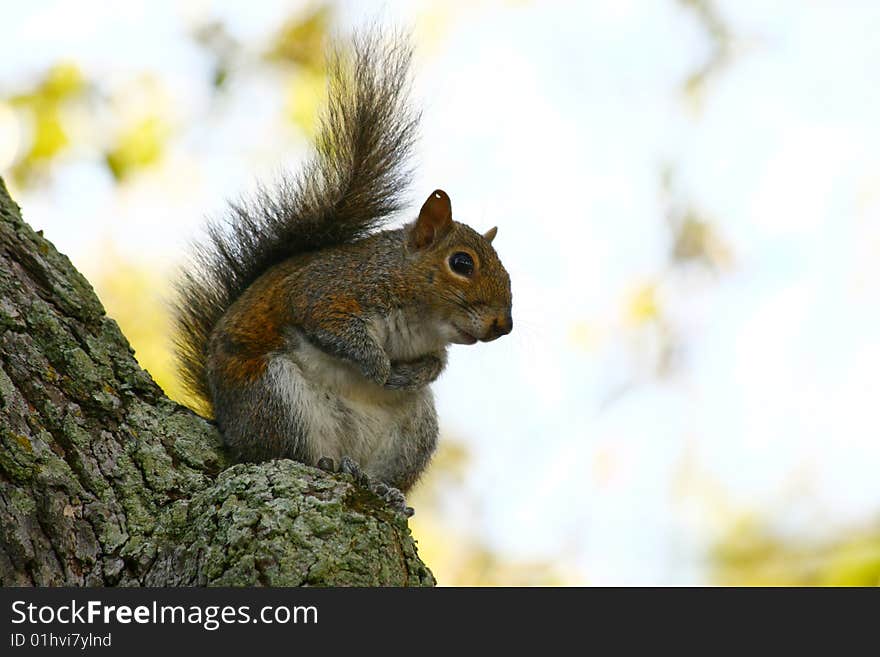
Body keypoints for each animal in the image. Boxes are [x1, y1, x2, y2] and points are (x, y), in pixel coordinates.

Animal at [173, 30, 512, 516]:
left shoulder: (431, 345)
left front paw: (407, 375)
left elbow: (436, 363)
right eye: (462, 263)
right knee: (284, 451)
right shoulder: (330, 289)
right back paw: (325, 464)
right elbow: (334, 327)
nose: (504, 324)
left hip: (414, 433)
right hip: (273, 396)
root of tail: (227, 422)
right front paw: (378, 367)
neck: (420, 316)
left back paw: (383, 489)